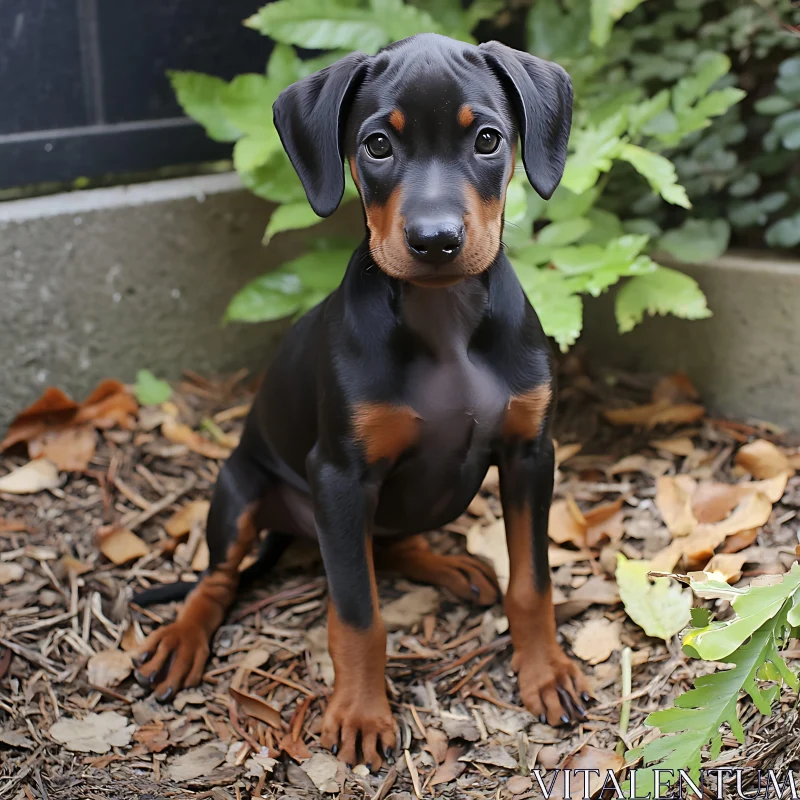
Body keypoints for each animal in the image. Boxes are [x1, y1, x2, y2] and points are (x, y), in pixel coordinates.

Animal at [134, 32, 592, 768]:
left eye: (487, 139)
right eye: (378, 145)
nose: (435, 241)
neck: (443, 323)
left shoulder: (530, 454)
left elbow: (533, 583)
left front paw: (546, 672)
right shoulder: (341, 478)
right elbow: (357, 612)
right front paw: (359, 712)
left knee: (390, 542)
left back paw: (446, 563)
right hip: (241, 486)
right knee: (220, 576)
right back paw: (182, 637)